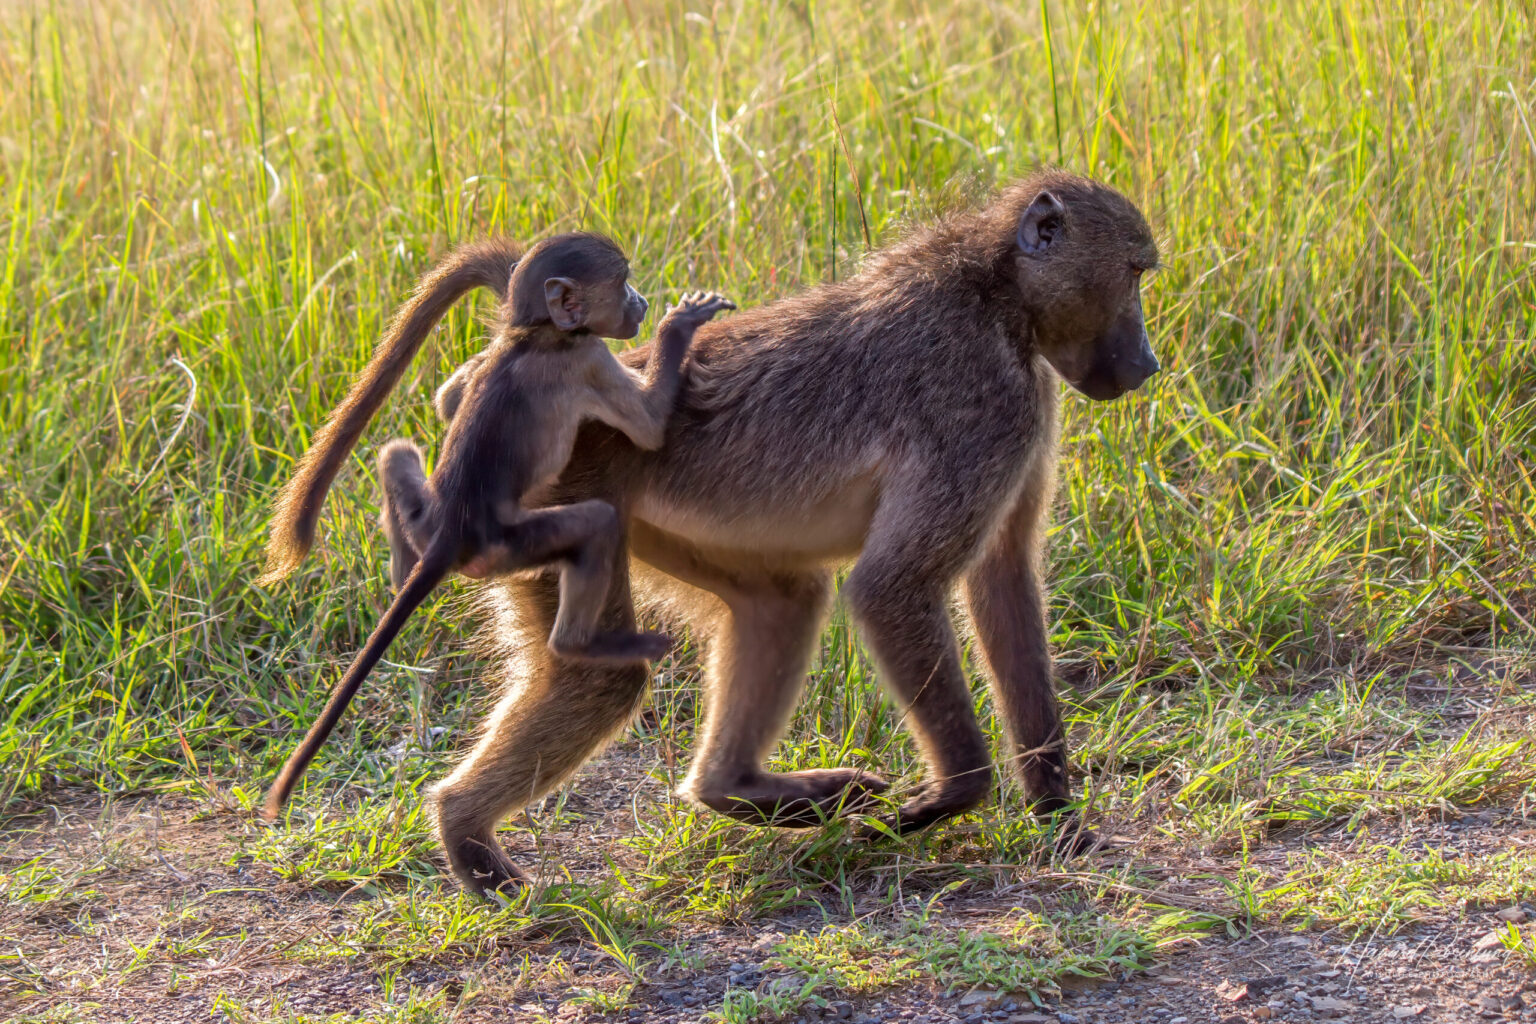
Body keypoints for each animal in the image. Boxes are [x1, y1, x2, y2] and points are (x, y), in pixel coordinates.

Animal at [258, 231, 734, 820]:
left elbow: (448, 401)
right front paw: (682, 325)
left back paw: (401, 563)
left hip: (434, 519)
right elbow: (647, 427)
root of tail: (451, 537)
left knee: (395, 454)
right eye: (623, 284)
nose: (642, 303)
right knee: (596, 526)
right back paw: (581, 645)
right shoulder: (590, 358)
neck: (535, 334)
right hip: (507, 549)